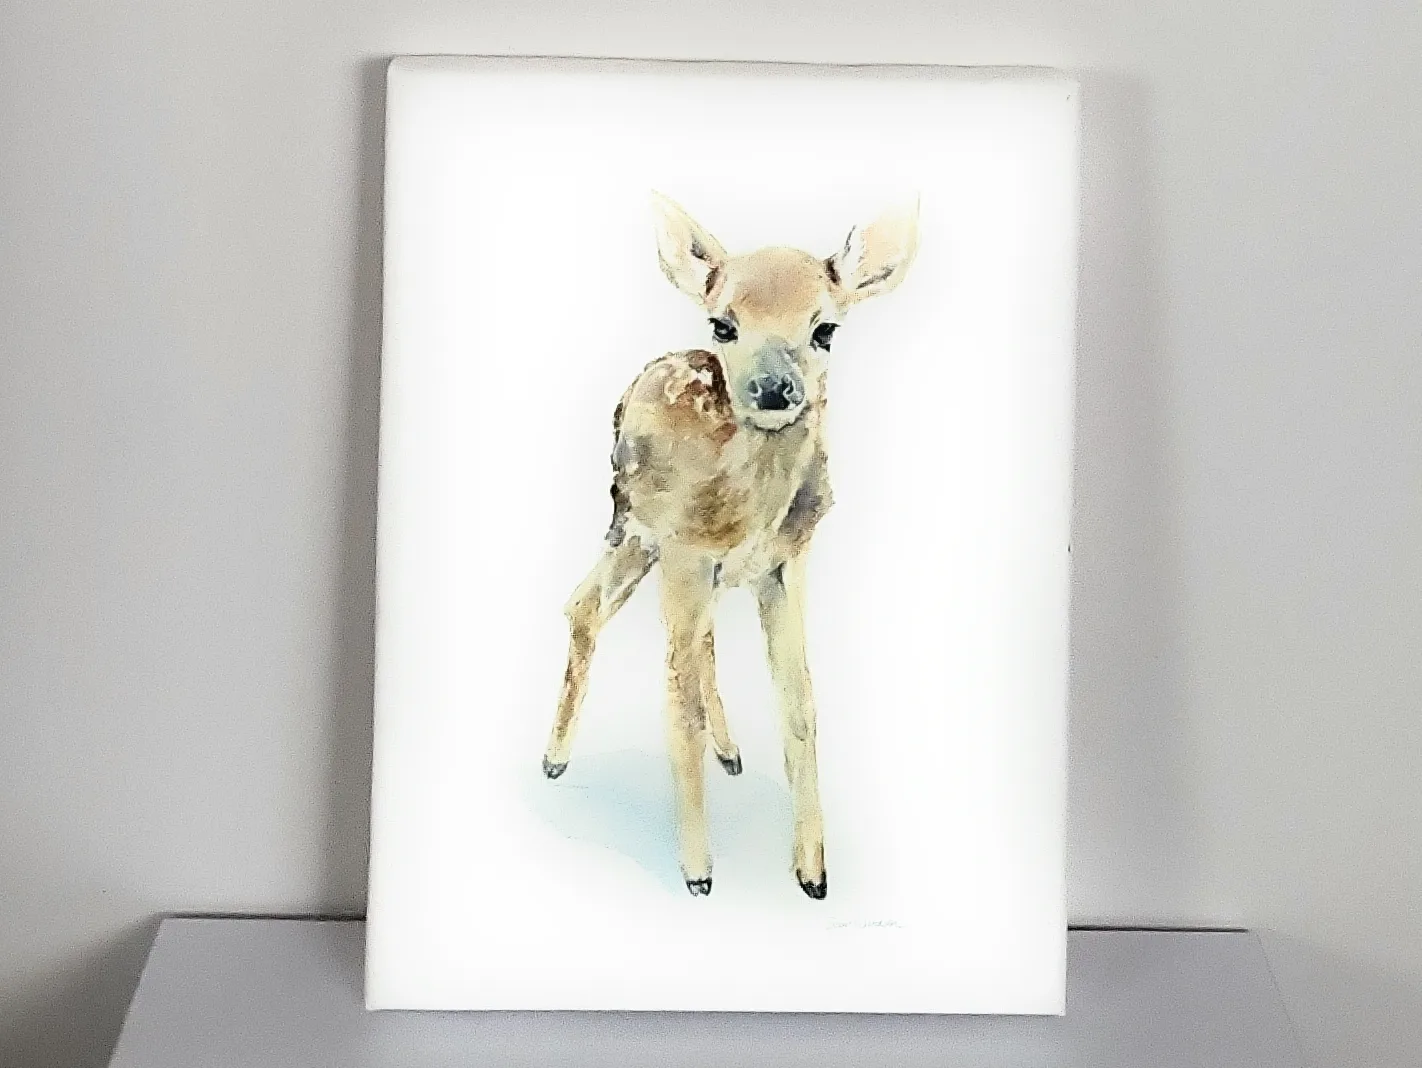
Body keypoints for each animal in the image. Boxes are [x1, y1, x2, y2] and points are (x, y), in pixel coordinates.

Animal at [542, 193, 919, 900]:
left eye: (825, 329)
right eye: (724, 325)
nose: (774, 388)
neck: (750, 514)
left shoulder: (787, 562)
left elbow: (800, 703)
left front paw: (813, 873)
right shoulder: (685, 551)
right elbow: (679, 707)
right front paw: (699, 875)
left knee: (674, 634)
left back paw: (731, 752)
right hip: (636, 526)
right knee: (586, 606)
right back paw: (553, 761)